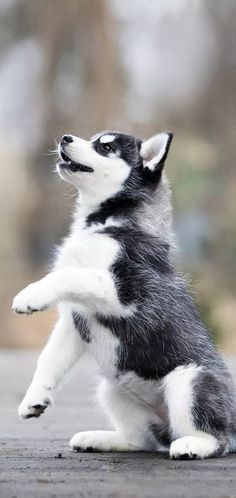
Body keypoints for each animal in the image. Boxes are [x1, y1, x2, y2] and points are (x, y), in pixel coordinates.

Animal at [12, 129, 236, 460]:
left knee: (218, 440)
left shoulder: (126, 292)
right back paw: (101, 438)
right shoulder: (74, 318)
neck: (105, 225)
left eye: (106, 147)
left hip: (188, 379)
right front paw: (35, 397)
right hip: (113, 388)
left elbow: (69, 274)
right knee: (143, 441)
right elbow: (49, 357)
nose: (65, 138)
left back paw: (194, 444)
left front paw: (30, 296)